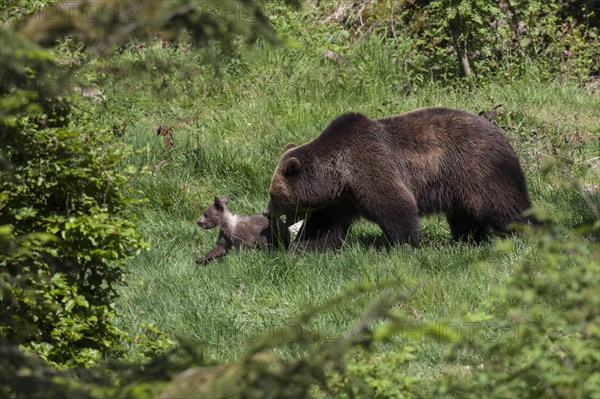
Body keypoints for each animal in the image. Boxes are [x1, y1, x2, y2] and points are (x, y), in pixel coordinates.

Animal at [266, 106, 536, 250]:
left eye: (274, 195)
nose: (266, 213)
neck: (339, 175)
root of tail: (501, 135)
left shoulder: (371, 167)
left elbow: (396, 205)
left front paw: (405, 243)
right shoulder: (341, 200)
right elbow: (322, 226)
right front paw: (303, 249)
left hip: (480, 171)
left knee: (504, 206)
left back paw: (533, 232)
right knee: (464, 217)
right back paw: (469, 241)